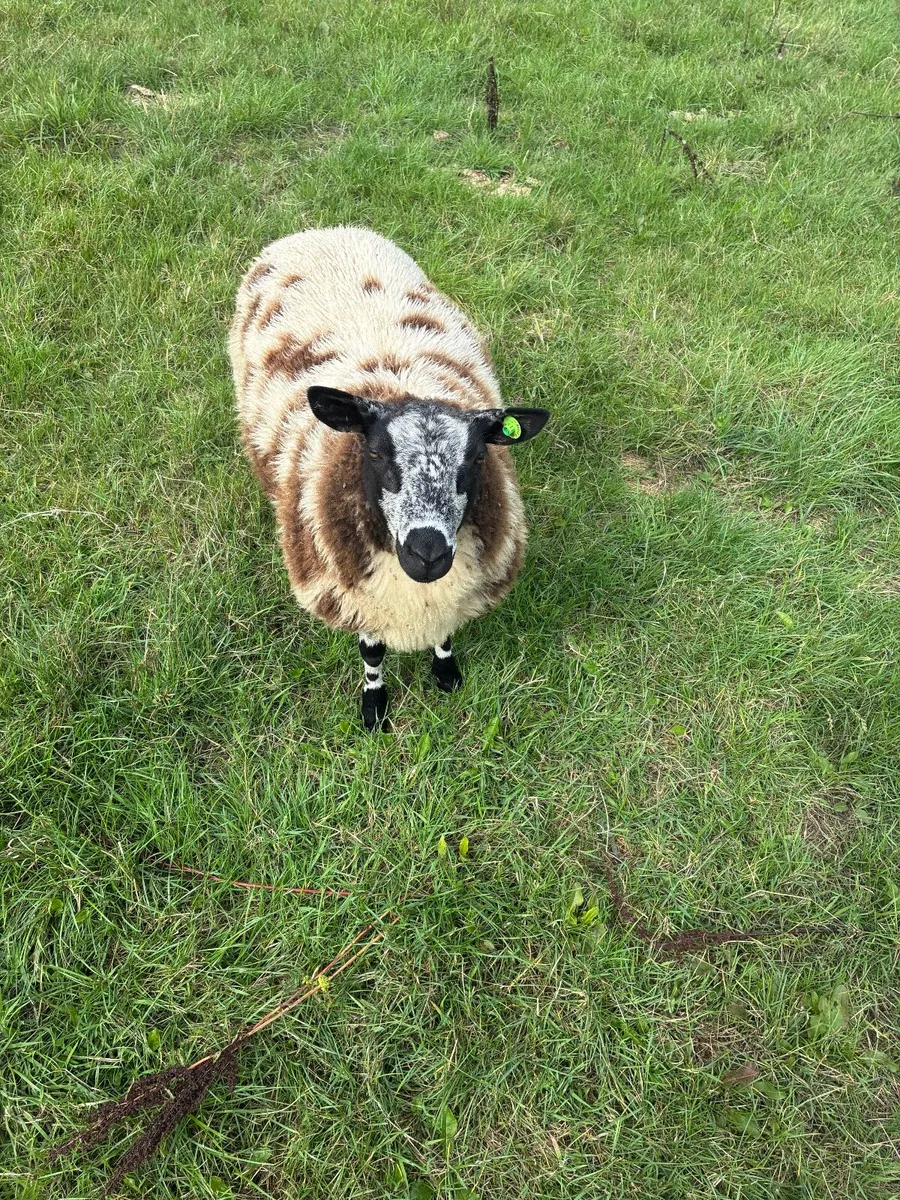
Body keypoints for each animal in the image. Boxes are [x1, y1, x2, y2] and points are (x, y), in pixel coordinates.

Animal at [229, 226, 550, 730]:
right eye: (376, 452)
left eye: (478, 458)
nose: (427, 553)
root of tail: (320, 230)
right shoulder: (357, 600)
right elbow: (372, 655)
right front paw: (374, 706)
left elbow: (444, 637)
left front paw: (446, 674)